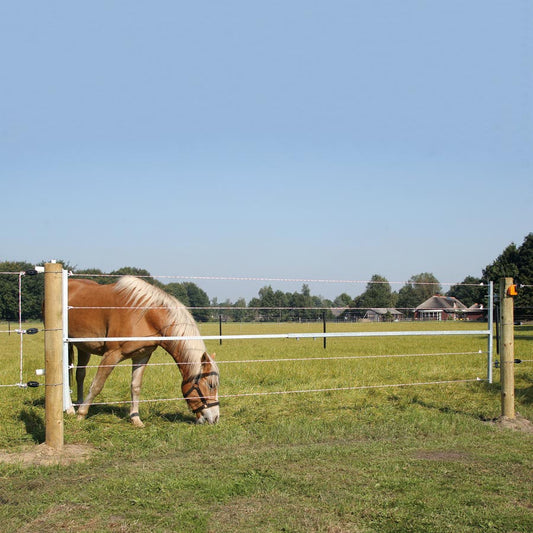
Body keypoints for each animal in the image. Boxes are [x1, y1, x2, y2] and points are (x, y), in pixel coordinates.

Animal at [68, 276, 218, 426]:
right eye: (210, 385)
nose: (215, 418)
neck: (145, 315)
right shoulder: (112, 354)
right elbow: (97, 385)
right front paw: (81, 415)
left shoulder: (142, 356)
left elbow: (135, 386)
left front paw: (135, 419)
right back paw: (71, 409)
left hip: (83, 347)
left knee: (79, 374)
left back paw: (78, 403)